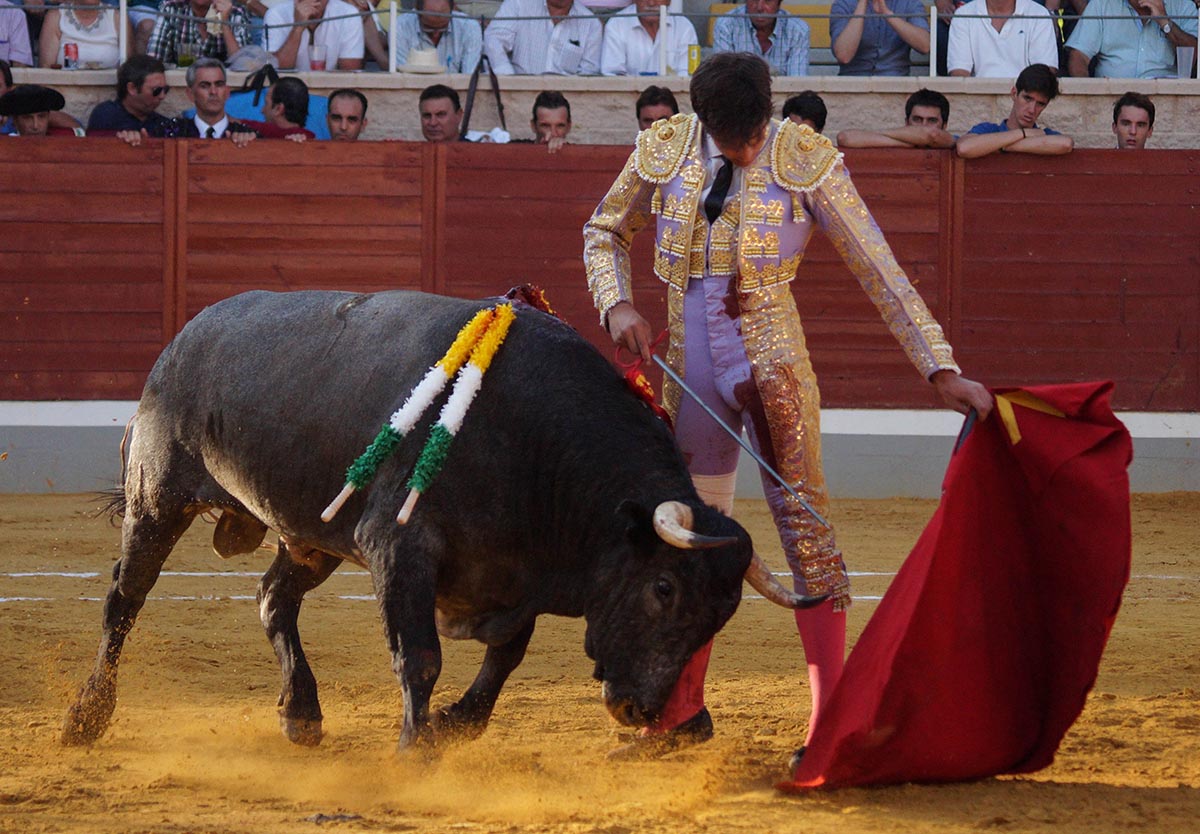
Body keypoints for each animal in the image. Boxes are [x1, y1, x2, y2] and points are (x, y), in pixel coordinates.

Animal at [60, 290, 816, 753]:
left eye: (719, 618)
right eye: (664, 589)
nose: (642, 712)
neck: (537, 443)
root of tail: (185, 336)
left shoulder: (512, 579)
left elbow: (505, 656)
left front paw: (455, 725)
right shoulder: (399, 548)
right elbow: (420, 655)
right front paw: (415, 747)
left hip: (312, 538)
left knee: (273, 600)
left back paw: (301, 714)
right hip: (158, 498)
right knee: (123, 600)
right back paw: (86, 717)